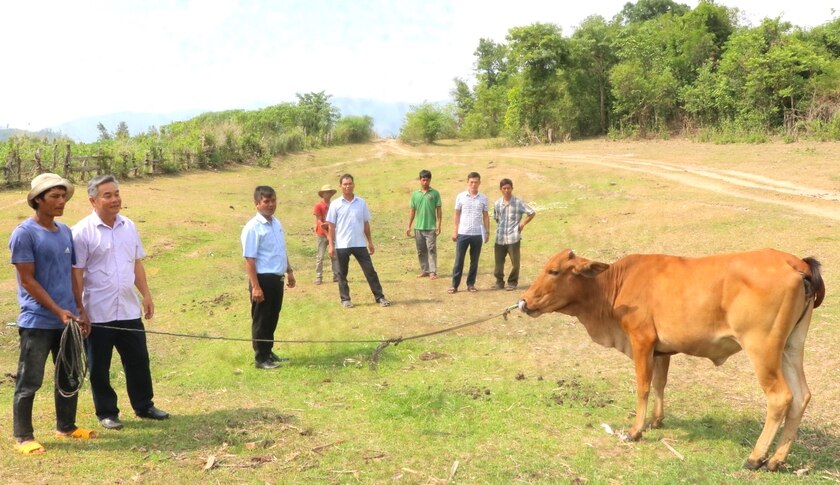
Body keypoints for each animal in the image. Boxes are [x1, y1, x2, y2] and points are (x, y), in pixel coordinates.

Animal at [520, 250, 824, 468]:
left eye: (554, 270)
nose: (523, 301)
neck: (615, 284)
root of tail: (795, 262)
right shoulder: (661, 350)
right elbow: (660, 383)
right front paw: (656, 420)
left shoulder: (641, 341)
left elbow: (643, 386)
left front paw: (635, 430)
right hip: (791, 346)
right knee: (802, 395)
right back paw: (777, 459)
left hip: (762, 348)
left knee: (780, 397)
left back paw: (756, 457)